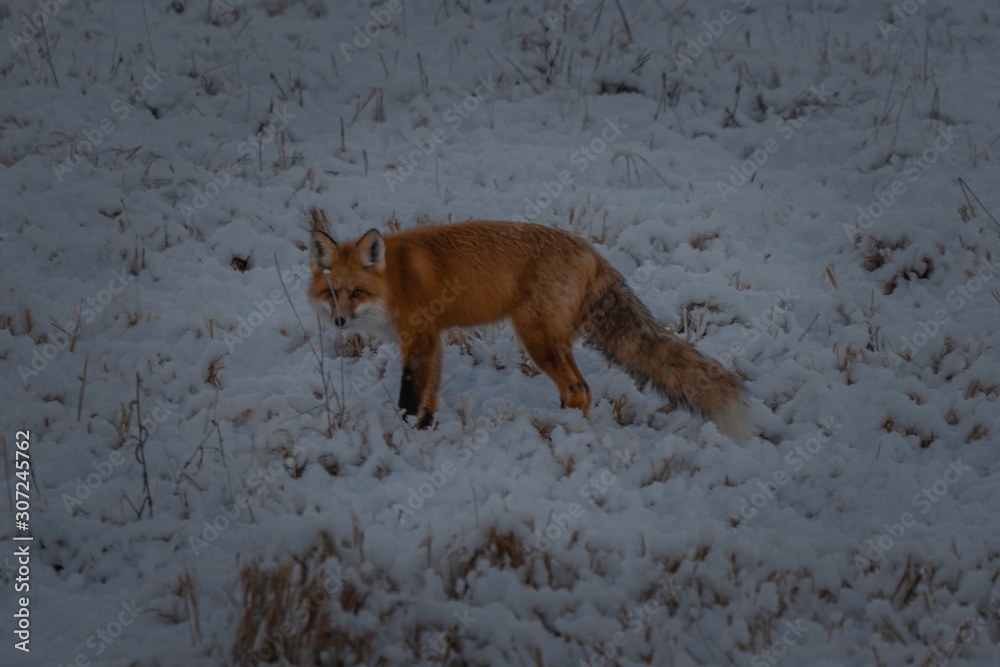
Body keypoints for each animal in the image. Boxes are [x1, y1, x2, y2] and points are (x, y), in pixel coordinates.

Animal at [308, 220, 751, 440]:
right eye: (332, 293)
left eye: (357, 292)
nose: (340, 322)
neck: (395, 280)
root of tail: (592, 252)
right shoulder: (432, 338)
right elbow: (429, 394)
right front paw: (427, 429)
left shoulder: (417, 337)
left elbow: (409, 395)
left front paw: (403, 434)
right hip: (554, 341)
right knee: (582, 390)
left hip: (536, 340)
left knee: (578, 390)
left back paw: (560, 434)